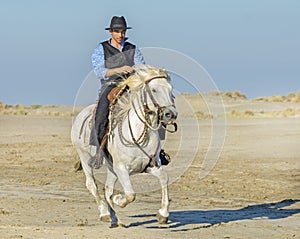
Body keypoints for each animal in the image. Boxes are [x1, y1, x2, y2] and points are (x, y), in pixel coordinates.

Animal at [71, 65, 177, 228]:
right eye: (154, 90)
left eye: (171, 89)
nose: (171, 114)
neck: (139, 134)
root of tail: (81, 115)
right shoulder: (121, 168)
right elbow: (130, 195)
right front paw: (118, 200)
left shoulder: (151, 165)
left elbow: (164, 178)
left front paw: (163, 214)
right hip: (86, 159)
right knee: (92, 185)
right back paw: (105, 214)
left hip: (111, 168)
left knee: (107, 188)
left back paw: (114, 219)